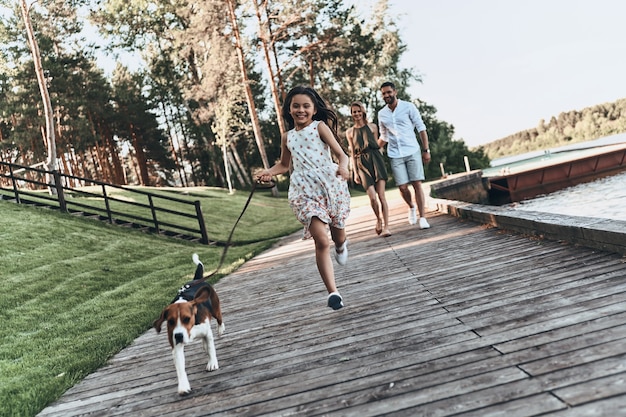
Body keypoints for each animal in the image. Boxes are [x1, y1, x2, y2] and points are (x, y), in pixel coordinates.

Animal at [154, 252, 224, 394]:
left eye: (186, 319)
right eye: (170, 321)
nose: (178, 336)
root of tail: (194, 280)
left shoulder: (206, 331)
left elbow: (211, 349)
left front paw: (212, 363)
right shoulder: (176, 347)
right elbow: (180, 368)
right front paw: (183, 386)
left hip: (215, 309)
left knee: (220, 319)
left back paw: (220, 329)